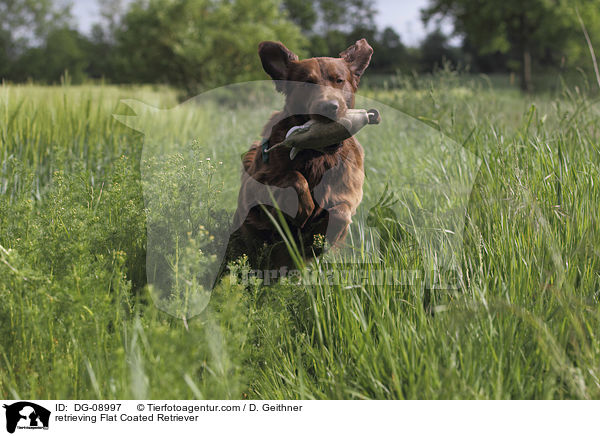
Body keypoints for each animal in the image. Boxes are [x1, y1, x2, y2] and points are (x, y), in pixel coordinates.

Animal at [227, 39, 372, 274]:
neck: (317, 154)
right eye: (307, 83)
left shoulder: (349, 193)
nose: (329, 107)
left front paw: (319, 238)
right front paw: (304, 207)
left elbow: (341, 211)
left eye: (339, 80)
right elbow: (293, 176)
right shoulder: (255, 185)